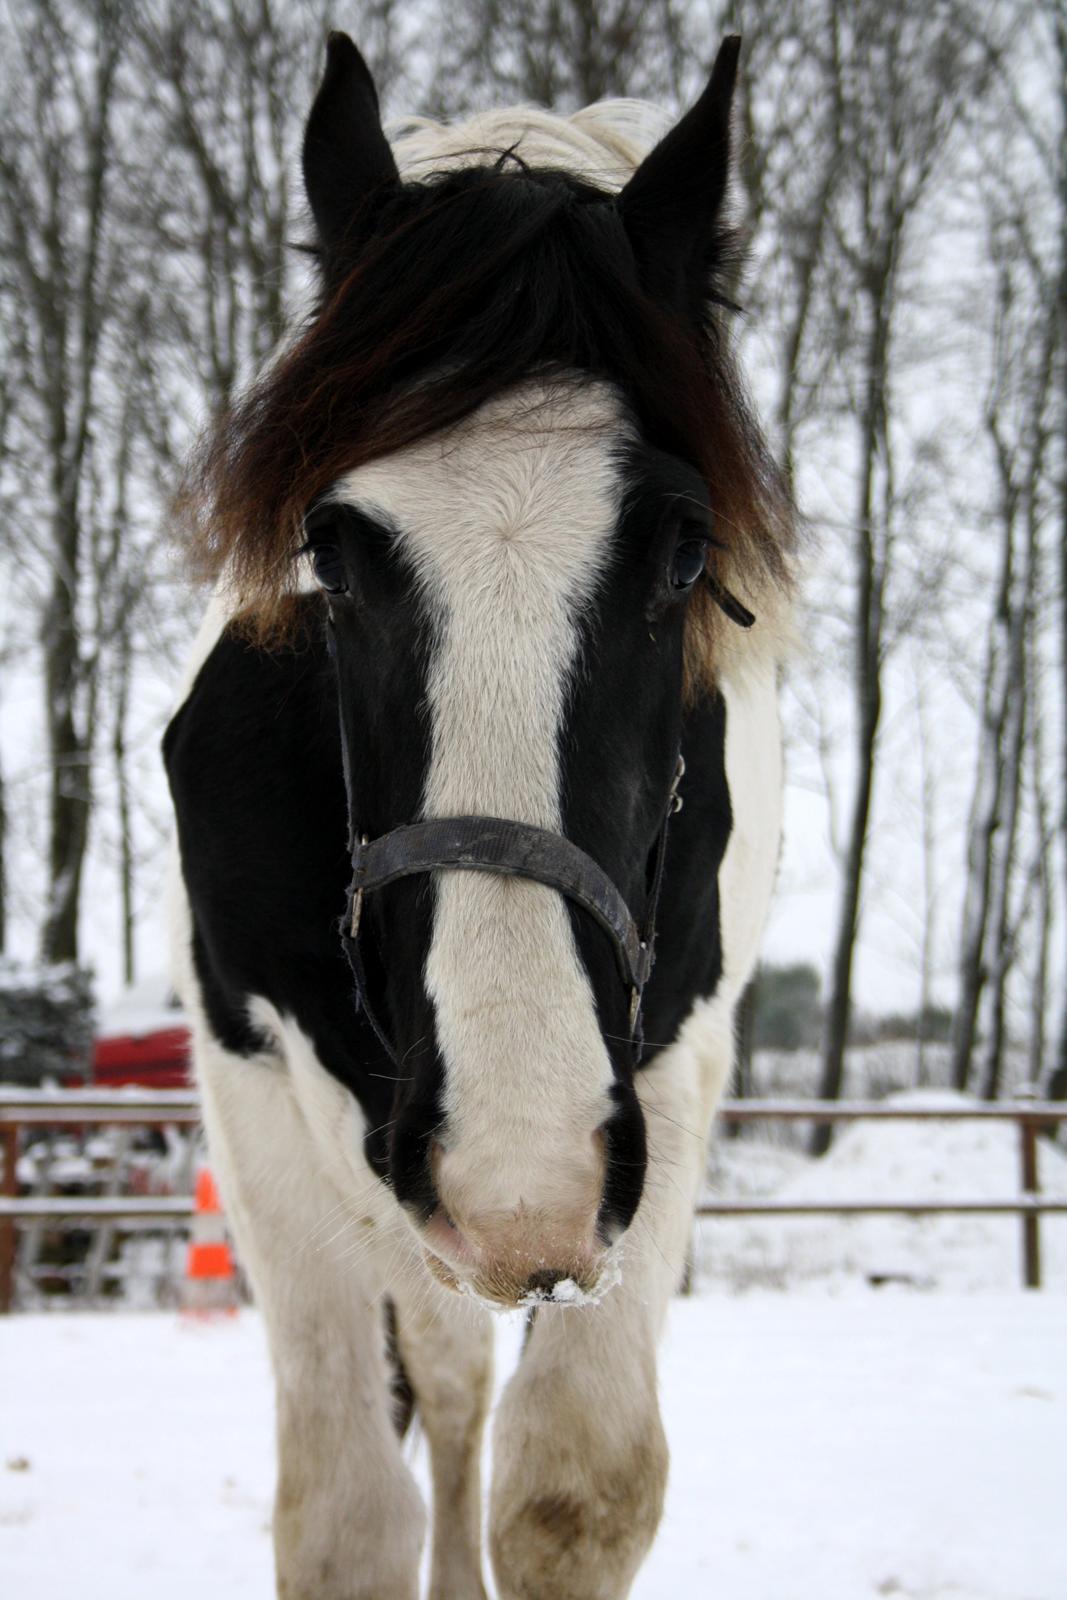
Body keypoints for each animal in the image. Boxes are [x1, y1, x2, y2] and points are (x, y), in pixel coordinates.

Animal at [164, 34, 793, 1600]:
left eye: (682, 550)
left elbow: (574, 1493)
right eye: (331, 547)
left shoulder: (665, 1082)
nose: (517, 1166)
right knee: (445, 1385)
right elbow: (348, 1518)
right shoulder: (256, 1096)